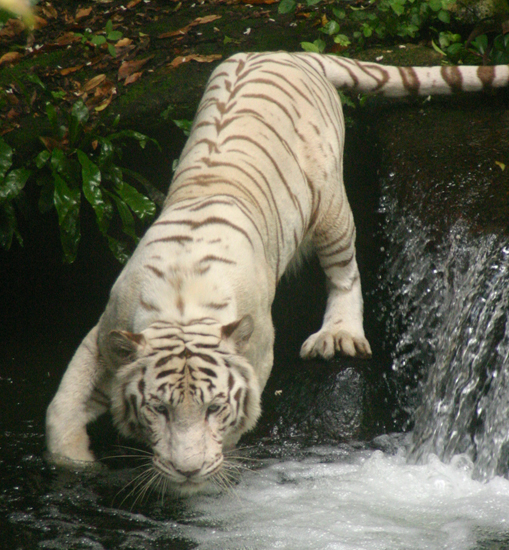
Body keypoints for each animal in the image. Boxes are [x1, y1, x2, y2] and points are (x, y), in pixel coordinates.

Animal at [44, 51, 508, 496]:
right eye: (159, 409)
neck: (182, 304)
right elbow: (62, 404)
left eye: (214, 407)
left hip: (331, 207)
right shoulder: (105, 334)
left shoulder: (258, 355)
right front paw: (75, 461)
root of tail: (293, 54)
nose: (187, 471)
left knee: (345, 271)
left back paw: (339, 334)